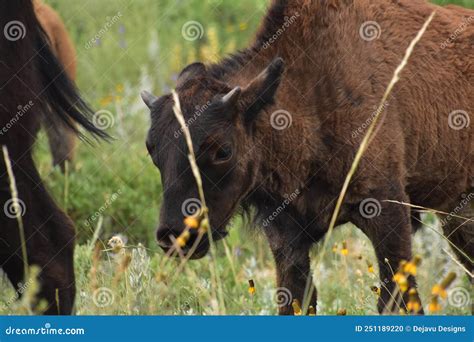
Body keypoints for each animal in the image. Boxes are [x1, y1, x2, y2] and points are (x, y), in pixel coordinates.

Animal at [143, 0, 472, 316]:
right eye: (152, 148)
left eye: (222, 150)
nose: (174, 237)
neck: (309, 92)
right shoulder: (286, 235)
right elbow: (297, 300)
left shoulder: (387, 210)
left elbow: (398, 300)